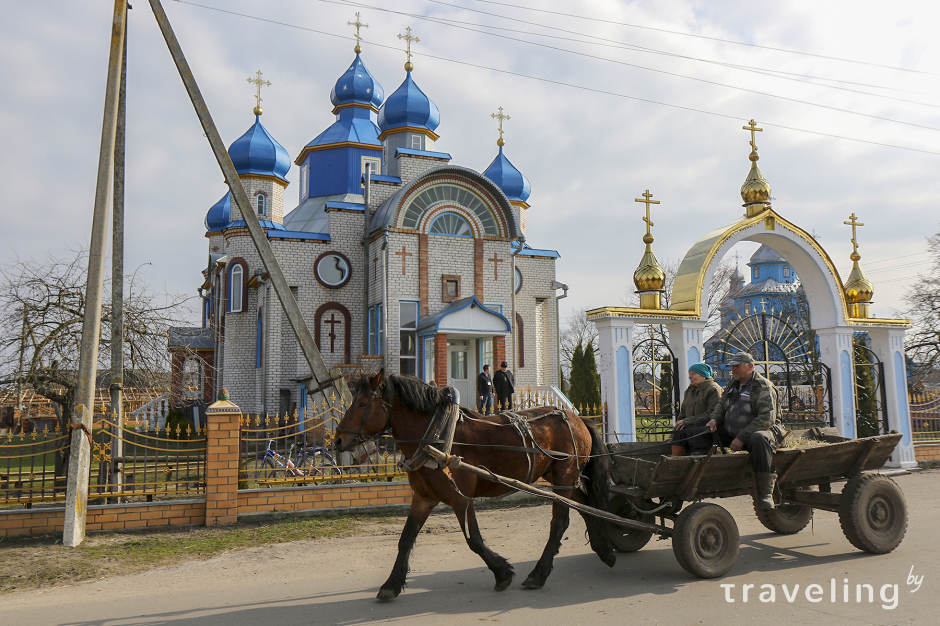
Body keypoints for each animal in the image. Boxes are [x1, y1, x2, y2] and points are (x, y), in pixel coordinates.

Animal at [334, 368, 612, 596]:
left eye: (362, 404)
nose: (337, 440)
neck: (436, 436)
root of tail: (577, 418)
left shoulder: (461, 499)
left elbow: (474, 540)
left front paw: (502, 573)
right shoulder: (423, 498)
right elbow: (405, 539)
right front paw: (391, 584)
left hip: (565, 477)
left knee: (560, 523)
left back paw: (538, 574)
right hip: (560, 478)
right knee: (586, 506)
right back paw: (604, 549)